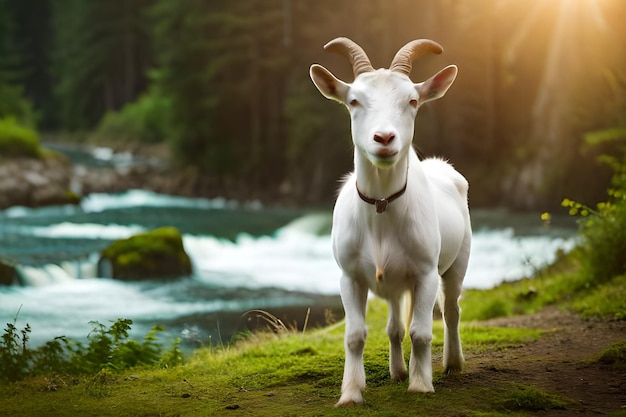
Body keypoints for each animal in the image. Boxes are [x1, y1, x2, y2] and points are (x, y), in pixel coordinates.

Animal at [308, 37, 468, 404]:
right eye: (353, 100)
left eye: (412, 100)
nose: (384, 139)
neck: (382, 207)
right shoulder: (349, 276)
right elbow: (355, 335)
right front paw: (351, 393)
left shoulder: (425, 273)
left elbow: (421, 332)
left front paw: (421, 385)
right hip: (394, 281)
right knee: (395, 325)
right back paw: (397, 371)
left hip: (458, 260)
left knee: (451, 310)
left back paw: (452, 364)